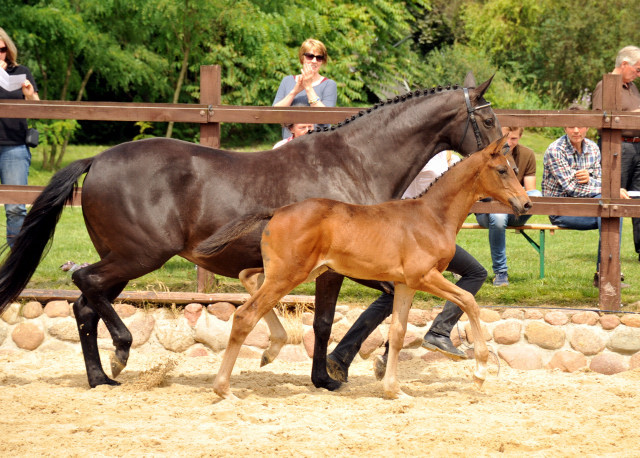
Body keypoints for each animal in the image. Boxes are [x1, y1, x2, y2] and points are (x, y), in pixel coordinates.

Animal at [214, 137, 528, 400]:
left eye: (514, 168)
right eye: (502, 170)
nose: (525, 203)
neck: (431, 216)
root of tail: (277, 211)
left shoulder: (405, 284)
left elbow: (398, 333)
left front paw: (394, 390)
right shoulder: (425, 277)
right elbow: (469, 300)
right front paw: (480, 373)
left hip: (293, 271)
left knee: (247, 277)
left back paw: (270, 350)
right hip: (289, 275)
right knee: (245, 315)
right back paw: (224, 388)